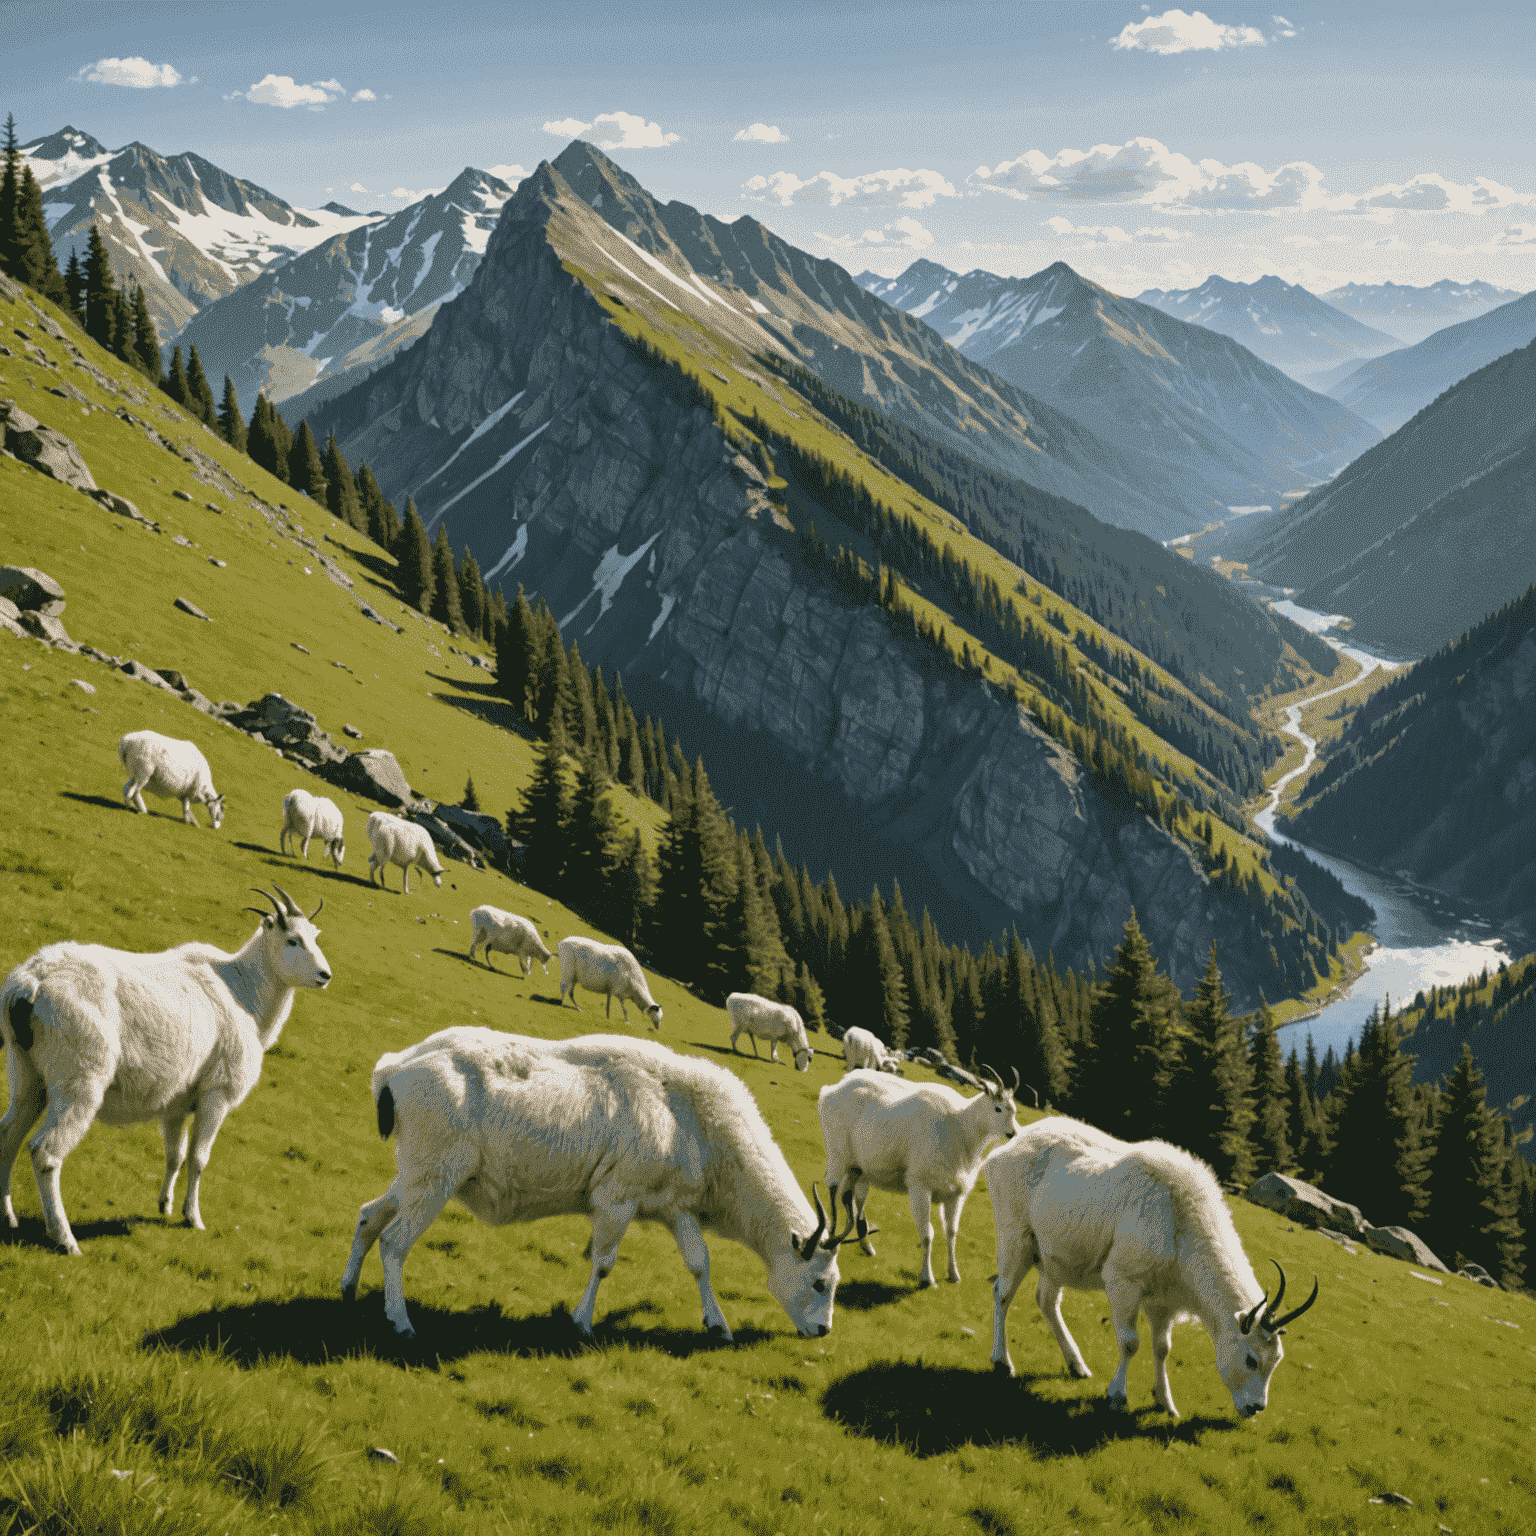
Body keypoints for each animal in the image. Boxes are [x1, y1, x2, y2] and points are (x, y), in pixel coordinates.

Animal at [0, 884, 330, 1253]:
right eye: (292, 940)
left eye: (315, 936)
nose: (325, 976)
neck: (244, 992)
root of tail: (31, 981)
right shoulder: (218, 1093)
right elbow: (199, 1158)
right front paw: (193, 1217)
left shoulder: (177, 1101)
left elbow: (176, 1154)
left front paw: (165, 1205)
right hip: (80, 1078)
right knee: (45, 1153)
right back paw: (65, 1238)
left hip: (25, 1071)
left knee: (8, 1135)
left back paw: (8, 1216)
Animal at [337, 1026, 860, 1339]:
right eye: (820, 1283)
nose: (824, 1332)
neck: (694, 1120)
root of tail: (396, 1065)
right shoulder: (617, 1196)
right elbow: (604, 1262)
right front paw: (582, 1321)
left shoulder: (676, 1206)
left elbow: (699, 1264)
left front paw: (718, 1325)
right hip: (436, 1176)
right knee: (394, 1242)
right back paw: (400, 1320)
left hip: (417, 1173)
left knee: (368, 1216)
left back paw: (348, 1288)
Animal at [817, 1062, 1019, 1290]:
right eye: (998, 1108)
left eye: (1014, 1109)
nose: (1013, 1133)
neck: (960, 1128)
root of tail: (830, 1090)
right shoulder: (920, 1186)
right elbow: (928, 1234)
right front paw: (927, 1277)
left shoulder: (955, 1193)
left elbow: (952, 1232)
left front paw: (953, 1274)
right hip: (838, 1153)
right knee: (832, 1186)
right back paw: (831, 1238)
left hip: (859, 1168)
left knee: (852, 1196)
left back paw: (865, 1244)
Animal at [983, 1112, 1320, 1419]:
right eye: (1251, 1359)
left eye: (1276, 1359)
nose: (1255, 1408)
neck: (1180, 1219)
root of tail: (1009, 1146)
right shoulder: (1123, 1280)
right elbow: (1130, 1343)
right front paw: (1118, 1397)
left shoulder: (1165, 1298)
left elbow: (1162, 1348)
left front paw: (1165, 1402)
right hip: (1016, 1234)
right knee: (1002, 1292)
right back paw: (1002, 1361)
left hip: (1056, 1254)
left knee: (1047, 1300)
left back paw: (1076, 1365)